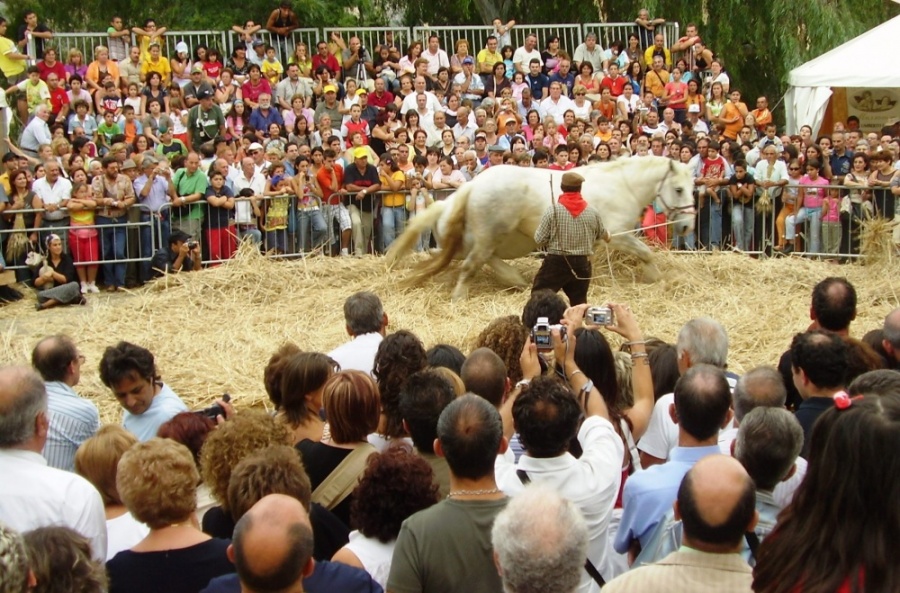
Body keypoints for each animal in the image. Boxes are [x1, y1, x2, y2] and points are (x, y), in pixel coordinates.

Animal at [386, 155, 696, 300]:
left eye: (693, 187)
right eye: (679, 189)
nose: (686, 226)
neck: (622, 185)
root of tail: (473, 186)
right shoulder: (616, 235)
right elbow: (646, 252)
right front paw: (658, 278)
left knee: (481, 260)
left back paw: (515, 280)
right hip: (488, 236)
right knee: (472, 264)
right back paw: (460, 295)